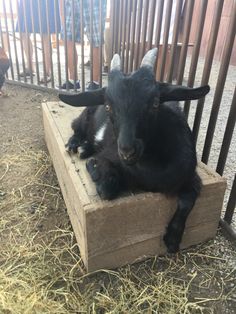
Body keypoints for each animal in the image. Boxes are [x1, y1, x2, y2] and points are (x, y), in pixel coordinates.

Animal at [59, 49, 210, 253]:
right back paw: (76, 145)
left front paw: (172, 240)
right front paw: (94, 166)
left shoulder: (190, 176)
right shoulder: (110, 155)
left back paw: (85, 148)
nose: (127, 151)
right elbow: (106, 189)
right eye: (108, 106)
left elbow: (188, 201)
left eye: (155, 103)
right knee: (76, 127)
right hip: (85, 116)